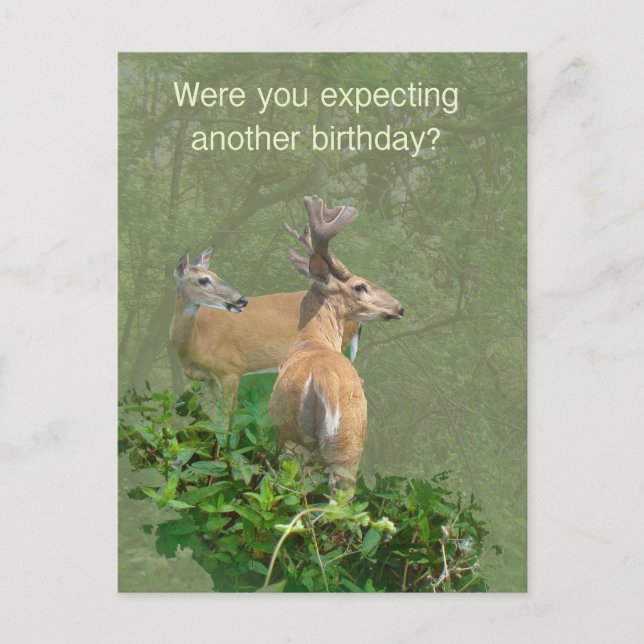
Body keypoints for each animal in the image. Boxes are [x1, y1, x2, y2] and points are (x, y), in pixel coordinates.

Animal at [170, 247, 361, 411]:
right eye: (203, 280)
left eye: (215, 275)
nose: (241, 300)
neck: (196, 341)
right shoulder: (204, 378)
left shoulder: (230, 369)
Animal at [269, 195, 404, 490]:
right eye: (360, 286)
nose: (399, 307)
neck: (313, 339)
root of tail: (324, 380)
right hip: (347, 443)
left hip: (291, 438)